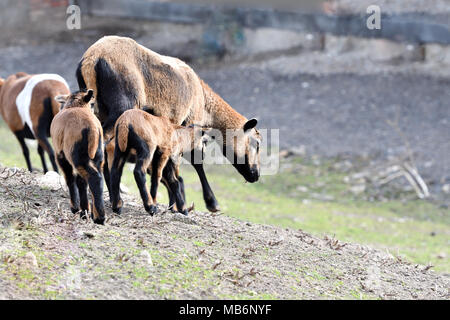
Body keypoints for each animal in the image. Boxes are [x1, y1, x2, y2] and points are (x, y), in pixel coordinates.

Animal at [76, 35, 262, 212]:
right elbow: (195, 160)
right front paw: (209, 203)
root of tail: (92, 59)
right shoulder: (189, 125)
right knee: (103, 145)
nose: (256, 175)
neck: (205, 102)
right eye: (257, 143)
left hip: (97, 108)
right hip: (122, 105)